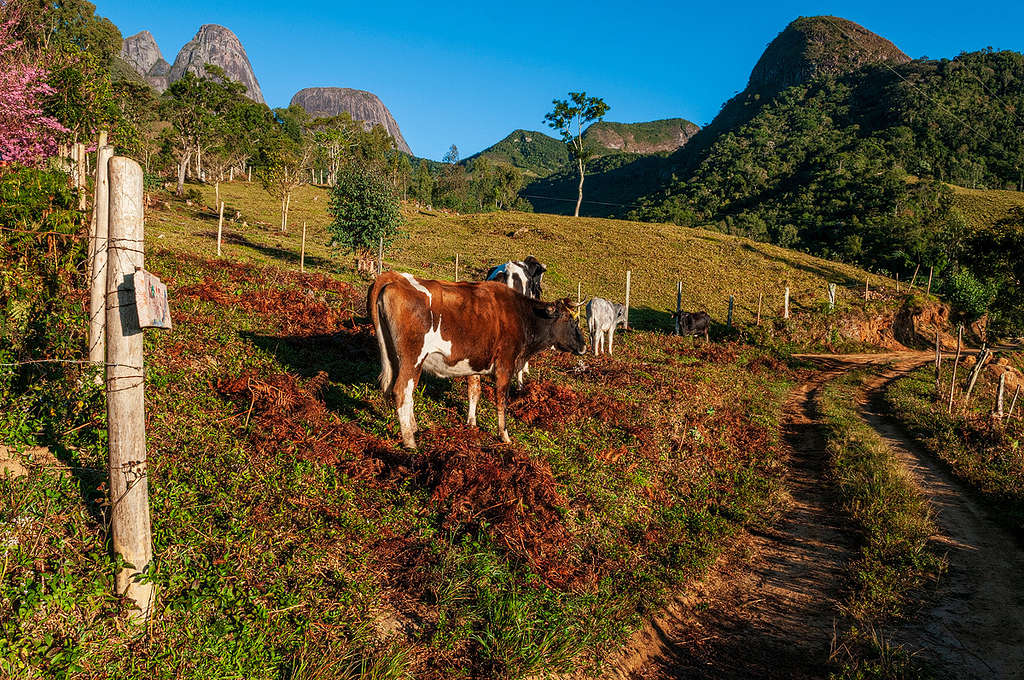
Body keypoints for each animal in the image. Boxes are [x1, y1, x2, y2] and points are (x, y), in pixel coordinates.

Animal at [372, 268, 589, 448]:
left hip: (394, 356)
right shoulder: (505, 366)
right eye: (573, 321)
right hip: (412, 358)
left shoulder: (474, 363)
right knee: (402, 391)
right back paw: (410, 441)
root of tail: (396, 278)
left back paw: (414, 428)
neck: (521, 315)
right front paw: (504, 435)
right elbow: (501, 400)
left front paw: (472, 424)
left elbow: (474, 393)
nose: (584, 346)